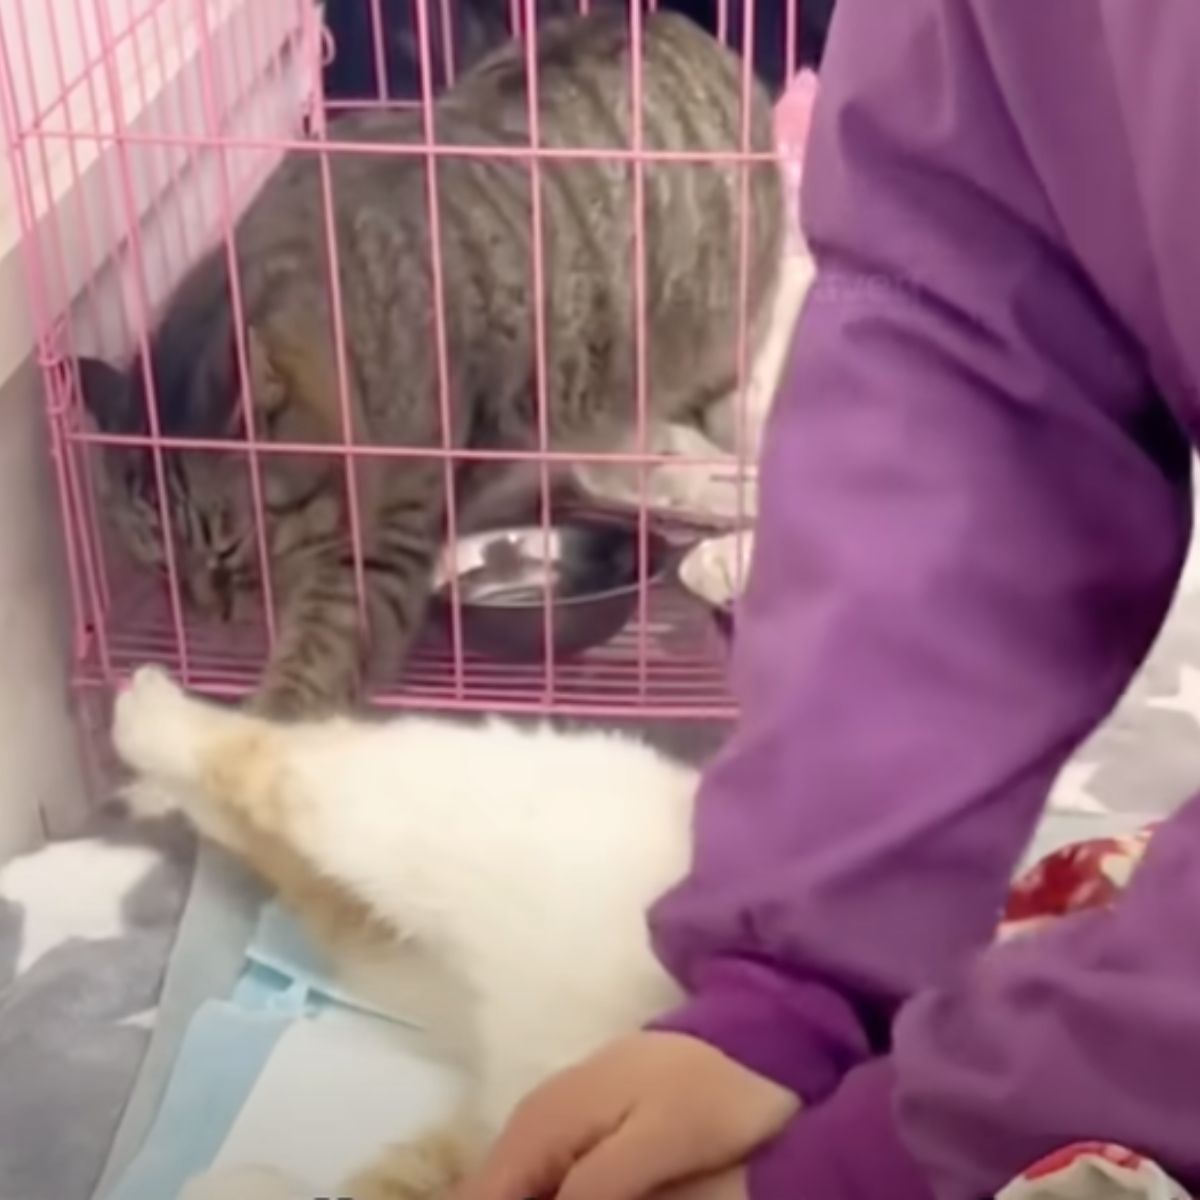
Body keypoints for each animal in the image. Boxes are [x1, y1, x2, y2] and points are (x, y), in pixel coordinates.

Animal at [77, 9, 787, 715]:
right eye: (159, 564)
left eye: (227, 546)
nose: (208, 612)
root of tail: (670, 20)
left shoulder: (381, 543)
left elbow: (312, 664)